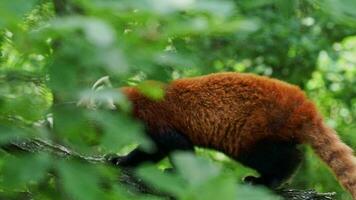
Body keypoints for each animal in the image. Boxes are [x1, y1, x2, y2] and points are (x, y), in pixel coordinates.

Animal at [110, 72, 354, 198]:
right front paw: (120, 159)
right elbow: (153, 150)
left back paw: (268, 180)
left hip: (254, 134)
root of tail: (303, 104)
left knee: (280, 157)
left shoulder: (157, 120)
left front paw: (177, 173)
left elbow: (179, 148)